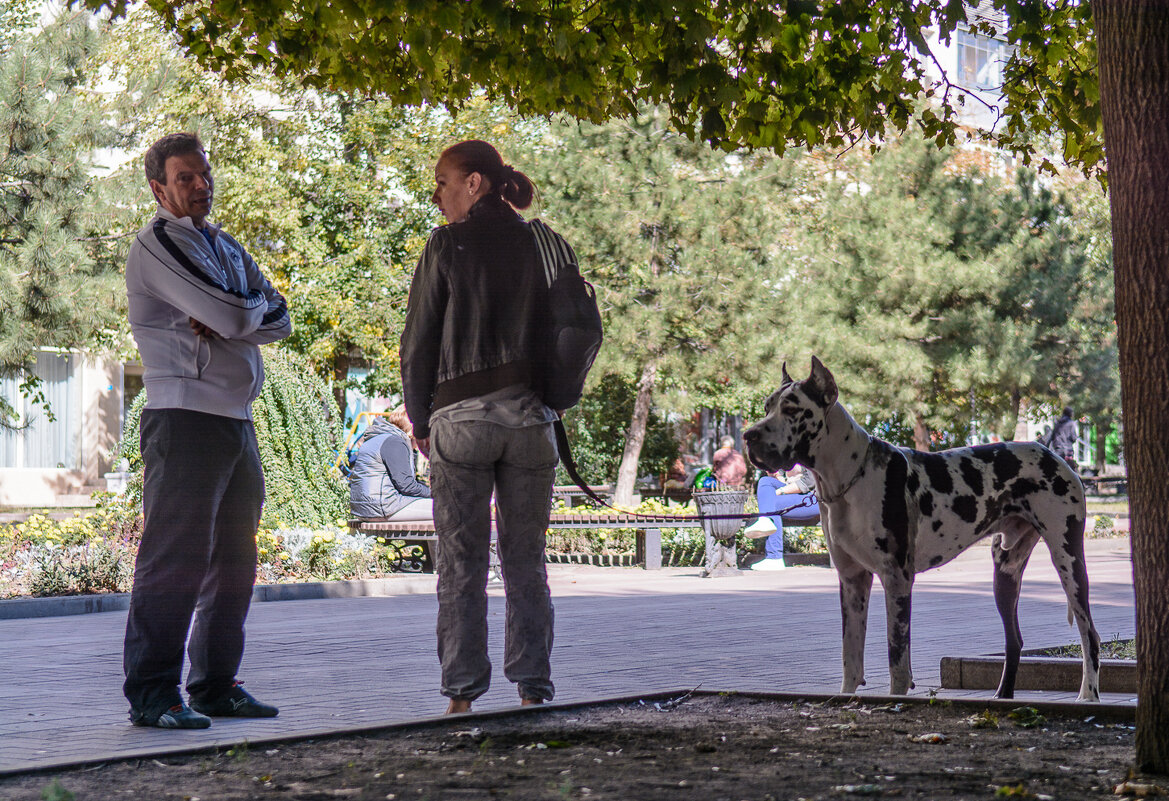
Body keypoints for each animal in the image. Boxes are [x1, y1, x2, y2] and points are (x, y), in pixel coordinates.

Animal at [743, 355, 1098, 701]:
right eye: (766, 407)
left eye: (792, 409)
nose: (749, 436)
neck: (848, 477)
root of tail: (1054, 455)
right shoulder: (852, 580)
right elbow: (851, 660)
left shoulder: (896, 578)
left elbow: (898, 661)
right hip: (1005, 572)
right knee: (1015, 640)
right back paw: (1002, 697)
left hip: (1068, 561)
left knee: (1089, 636)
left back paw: (1087, 698)